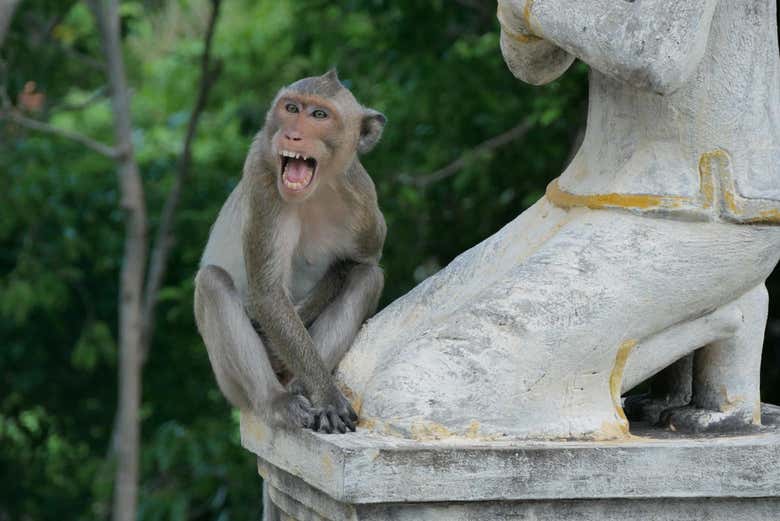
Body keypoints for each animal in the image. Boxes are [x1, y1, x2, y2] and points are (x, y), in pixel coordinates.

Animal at [194, 70, 387, 434]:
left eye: (319, 115)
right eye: (292, 108)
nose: (292, 134)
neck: (318, 190)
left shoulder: (364, 202)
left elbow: (361, 261)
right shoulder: (262, 175)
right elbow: (268, 294)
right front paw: (327, 395)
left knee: (368, 277)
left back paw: (302, 386)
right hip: (229, 384)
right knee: (212, 282)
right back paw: (277, 401)